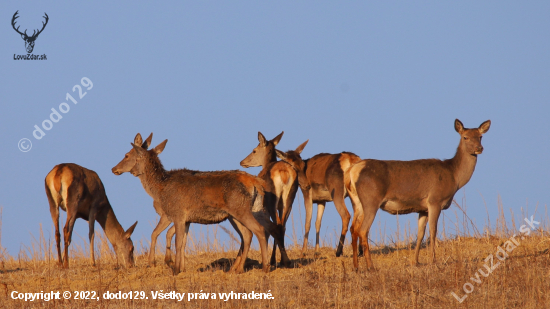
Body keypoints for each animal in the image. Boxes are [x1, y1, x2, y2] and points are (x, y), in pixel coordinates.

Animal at [111, 134, 288, 274]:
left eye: (126, 155)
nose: (114, 168)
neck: (160, 189)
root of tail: (255, 182)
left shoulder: (177, 214)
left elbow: (173, 240)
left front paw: (170, 267)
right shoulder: (187, 219)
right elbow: (182, 242)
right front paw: (180, 268)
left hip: (241, 210)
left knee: (259, 230)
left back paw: (265, 267)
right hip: (242, 213)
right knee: (249, 234)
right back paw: (237, 270)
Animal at [242, 132, 310, 264]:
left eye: (254, 150)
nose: (242, 162)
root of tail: (283, 172)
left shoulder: (264, 207)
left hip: (271, 201)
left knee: (277, 225)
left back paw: (278, 260)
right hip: (289, 199)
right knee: (282, 225)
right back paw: (285, 260)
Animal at [348, 118, 494, 270]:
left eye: (480, 136)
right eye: (465, 137)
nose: (479, 148)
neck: (454, 177)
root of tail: (353, 171)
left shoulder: (422, 208)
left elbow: (420, 234)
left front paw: (415, 261)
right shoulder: (435, 200)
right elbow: (433, 231)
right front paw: (433, 260)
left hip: (357, 203)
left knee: (354, 229)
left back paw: (356, 267)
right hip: (371, 200)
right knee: (363, 230)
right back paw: (371, 266)